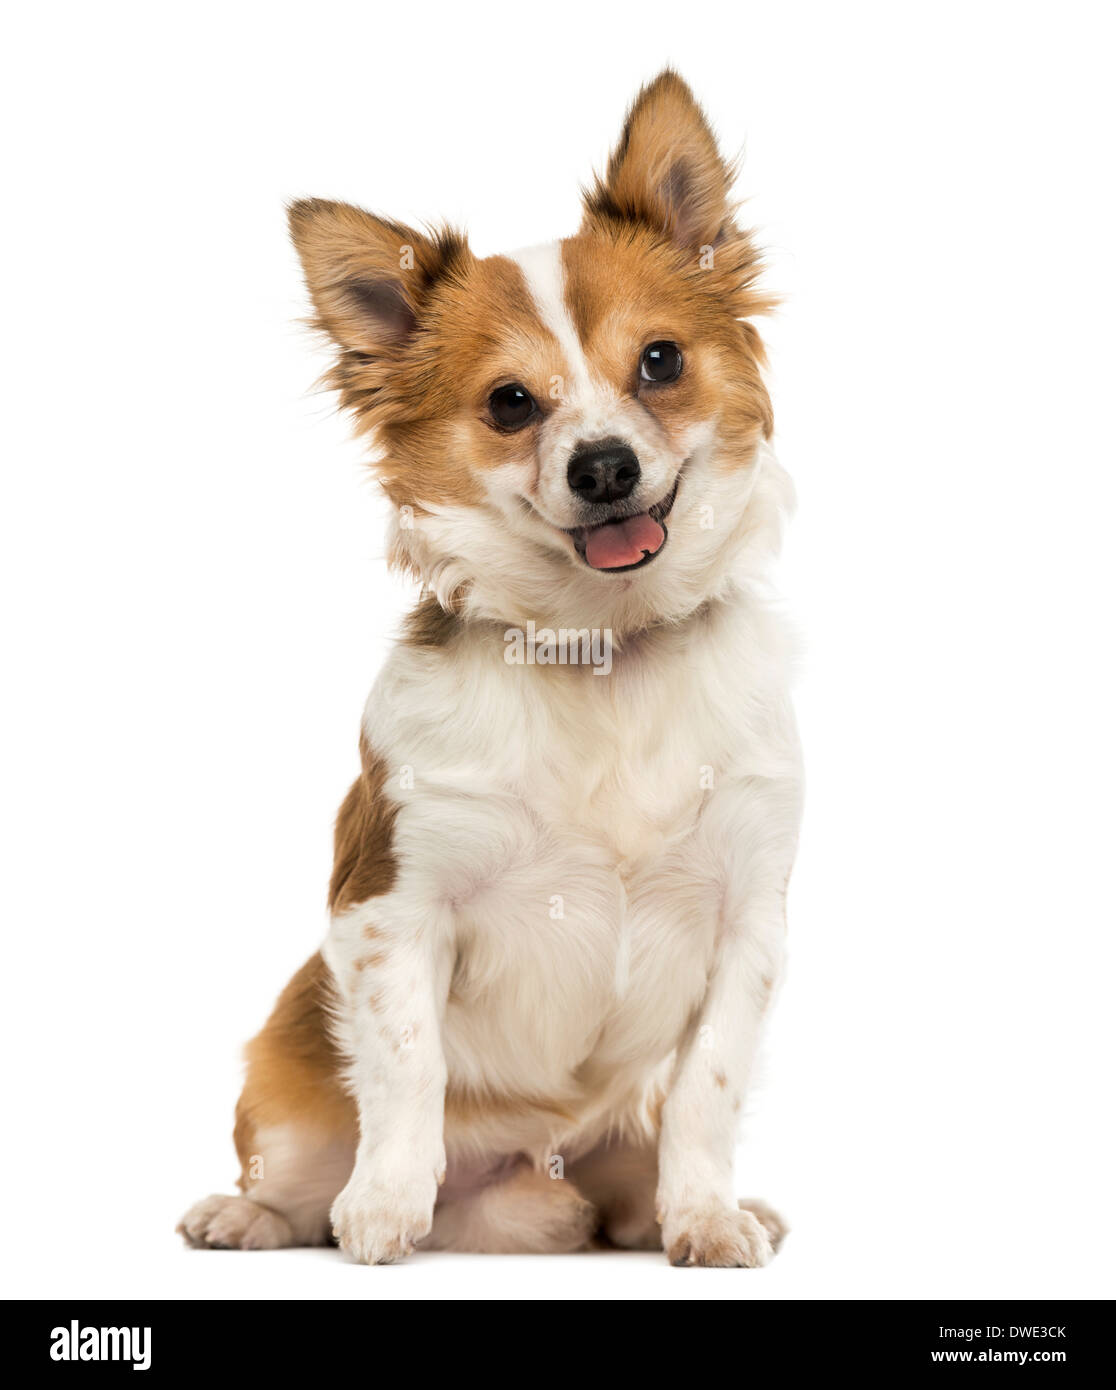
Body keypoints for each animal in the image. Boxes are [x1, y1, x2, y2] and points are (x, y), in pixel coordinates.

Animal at [179, 70, 800, 1267]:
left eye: (661, 361)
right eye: (512, 403)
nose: (602, 466)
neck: (603, 651)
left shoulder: (746, 917)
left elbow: (707, 1087)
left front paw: (706, 1215)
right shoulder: (389, 909)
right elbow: (407, 1066)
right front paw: (383, 1205)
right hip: (290, 1077)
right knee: (292, 1165)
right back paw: (253, 1213)